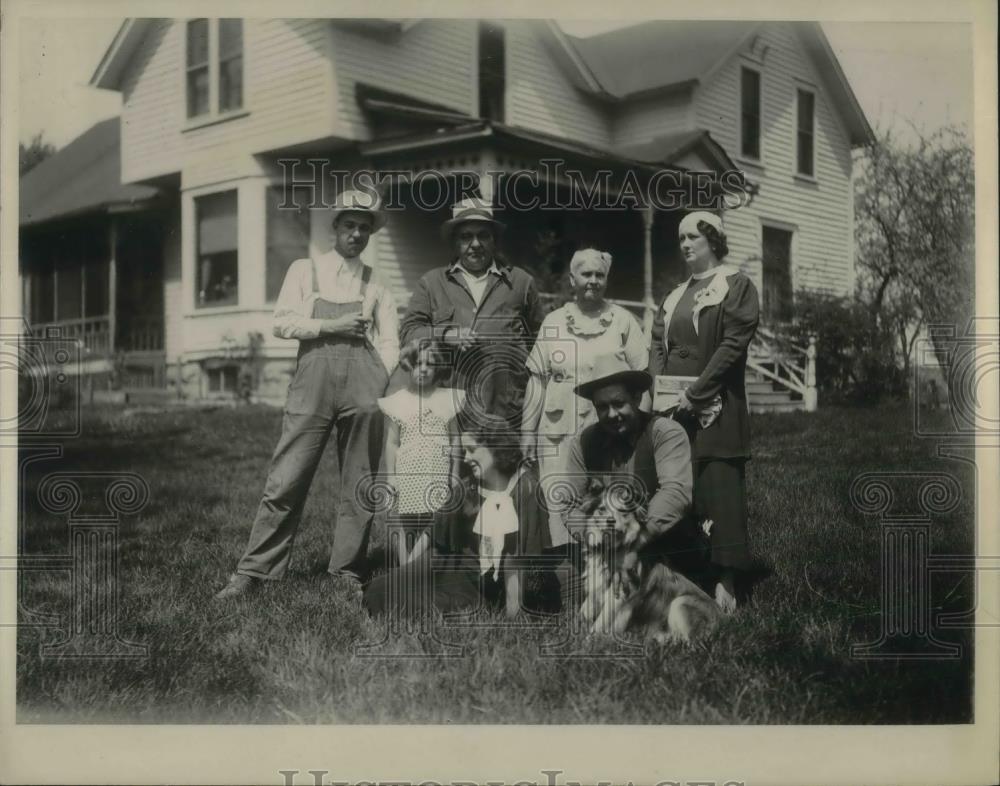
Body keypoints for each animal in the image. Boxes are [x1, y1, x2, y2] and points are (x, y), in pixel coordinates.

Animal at [576, 478, 724, 644]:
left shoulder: (619, 594)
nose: (610, 521)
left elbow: (601, 622)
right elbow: (586, 610)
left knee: (689, 641)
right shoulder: (596, 585)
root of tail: (724, 620)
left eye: (623, 512)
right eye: (601, 509)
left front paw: (589, 641)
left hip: (680, 603)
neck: (610, 549)